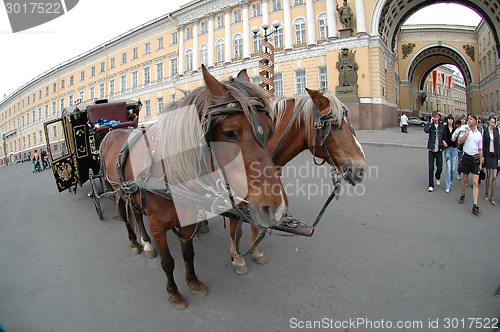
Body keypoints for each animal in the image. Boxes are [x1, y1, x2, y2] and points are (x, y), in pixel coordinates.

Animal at [99, 66, 288, 310]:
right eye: (229, 133)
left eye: (269, 129)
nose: (276, 208)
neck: (168, 169)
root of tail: (112, 131)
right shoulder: (157, 224)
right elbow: (167, 261)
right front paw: (174, 293)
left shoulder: (187, 218)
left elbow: (188, 253)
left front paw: (193, 282)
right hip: (117, 192)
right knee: (127, 216)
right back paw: (137, 242)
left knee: (137, 214)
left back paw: (146, 243)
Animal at [229, 85, 366, 274]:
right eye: (335, 125)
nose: (361, 169)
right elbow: (235, 226)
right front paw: (237, 259)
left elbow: (256, 223)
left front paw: (256, 251)